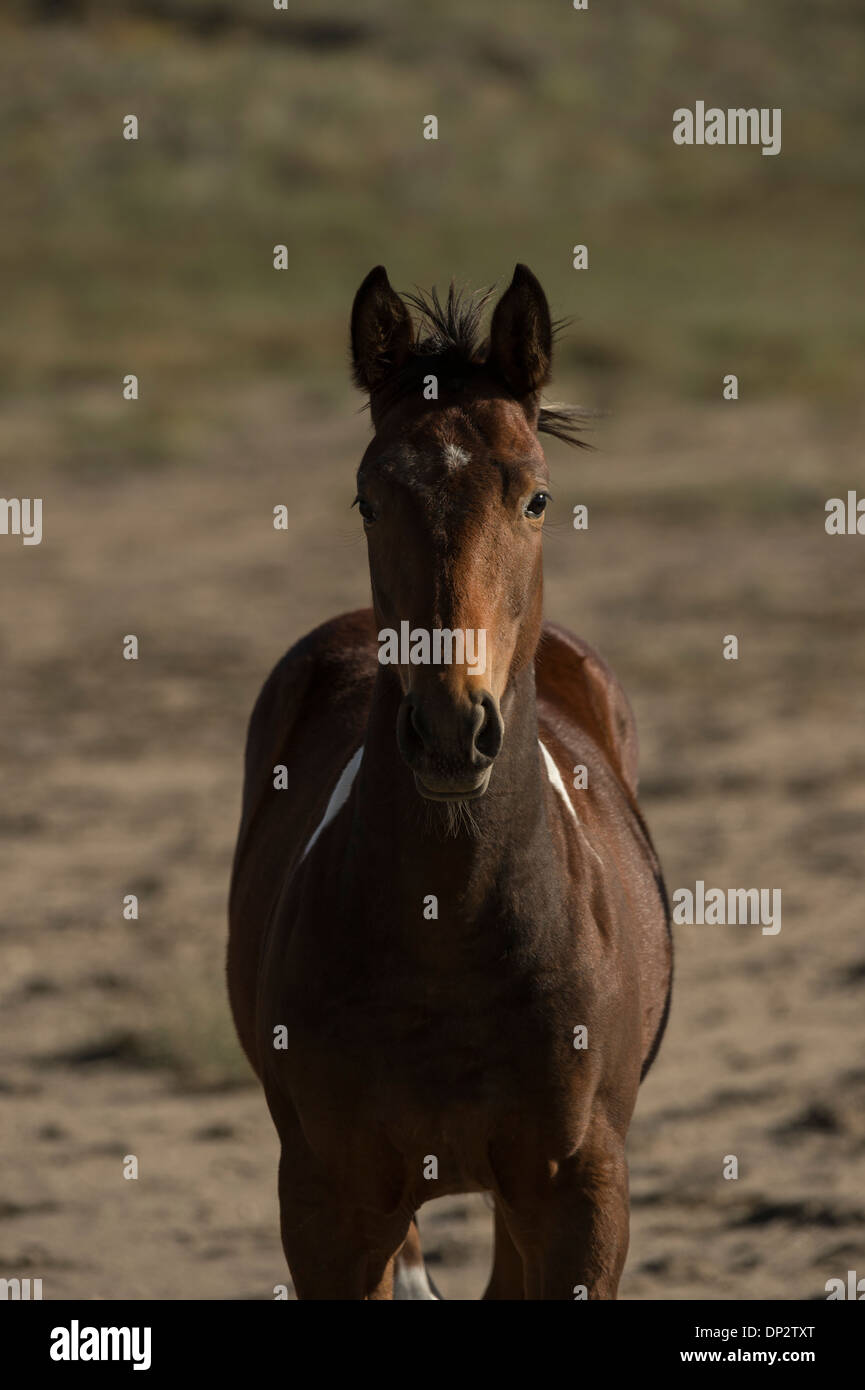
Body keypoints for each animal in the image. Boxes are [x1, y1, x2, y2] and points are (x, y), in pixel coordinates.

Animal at [226, 265, 675, 1295]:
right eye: (366, 499)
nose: (448, 732)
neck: (448, 929)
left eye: (537, 498)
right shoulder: (328, 1205)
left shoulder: (580, 1198)